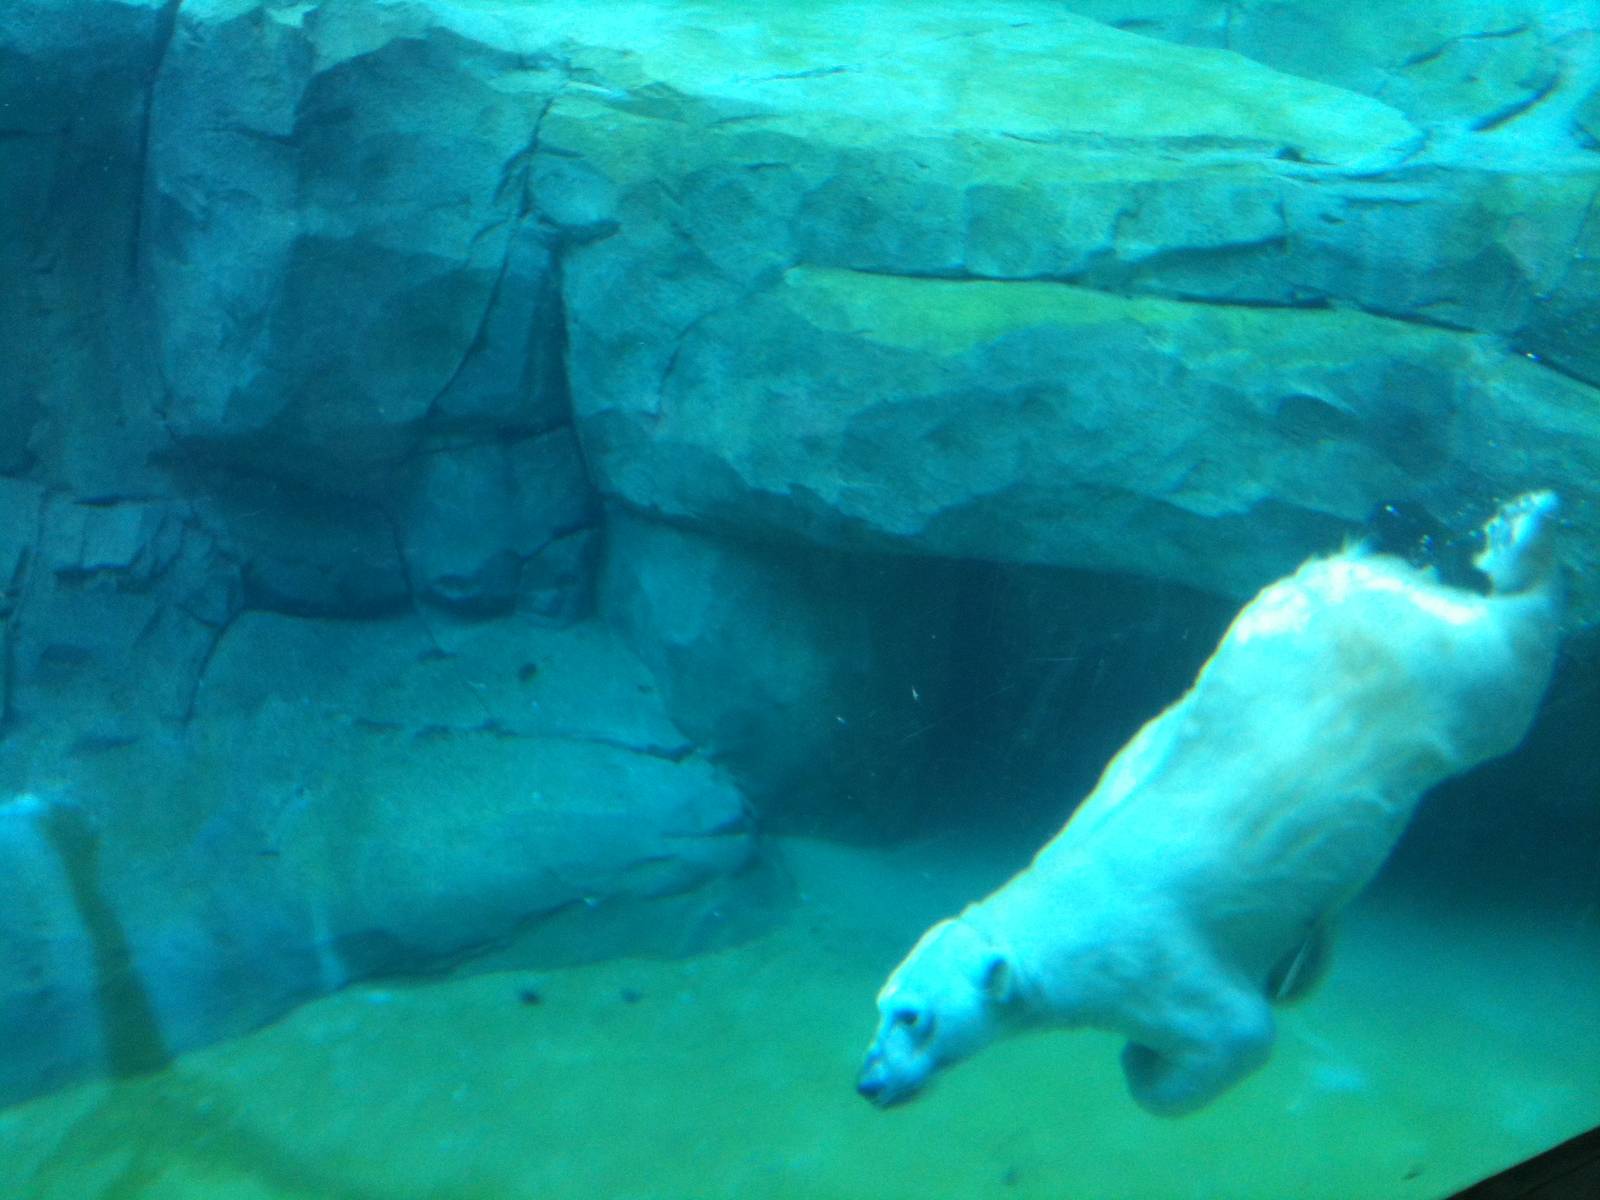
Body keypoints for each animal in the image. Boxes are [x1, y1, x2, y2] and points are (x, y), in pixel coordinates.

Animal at [858, 491, 1564, 1117]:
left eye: (914, 1017)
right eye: (881, 1006)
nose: (869, 1082)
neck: (1049, 918)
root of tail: (1369, 575)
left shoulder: (1142, 968)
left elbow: (1238, 1033)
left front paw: (1142, 1061)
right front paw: (1297, 965)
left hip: (1428, 679)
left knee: (1506, 669)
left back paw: (1521, 530)